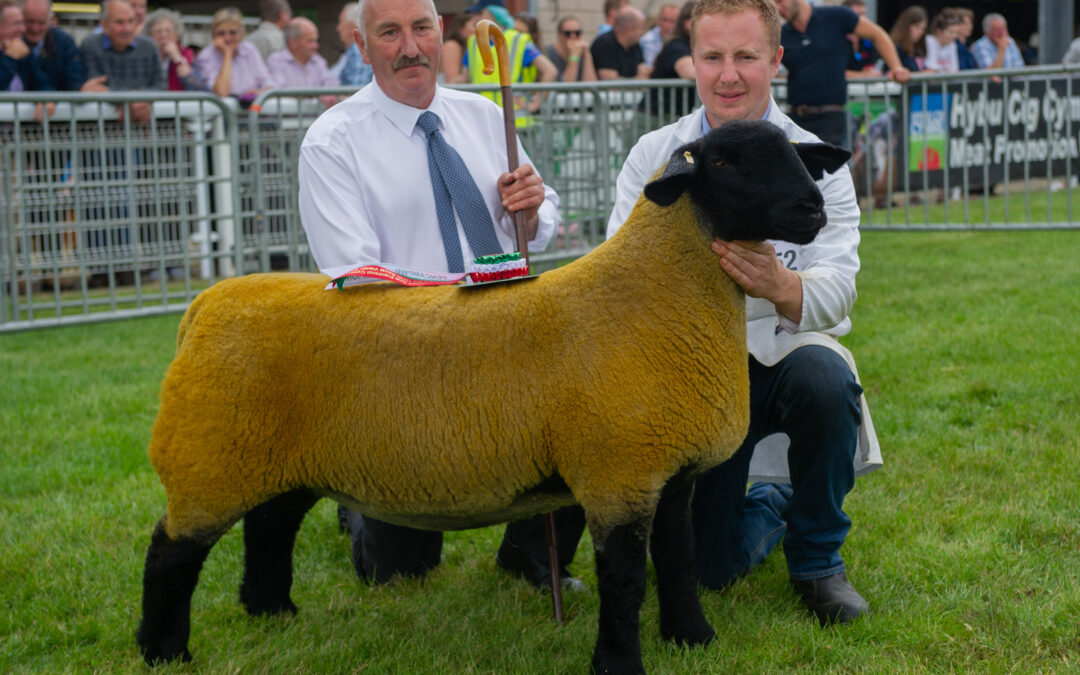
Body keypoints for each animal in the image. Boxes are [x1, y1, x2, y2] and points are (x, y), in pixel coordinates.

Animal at [135, 120, 846, 673]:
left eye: (792, 151)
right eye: (721, 160)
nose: (814, 209)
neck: (656, 294)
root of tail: (206, 304)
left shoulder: (669, 473)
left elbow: (676, 562)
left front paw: (694, 640)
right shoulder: (619, 474)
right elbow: (625, 582)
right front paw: (619, 663)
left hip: (274, 455)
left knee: (270, 525)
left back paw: (272, 611)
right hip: (209, 454)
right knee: (171, 550)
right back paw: (164, 650)